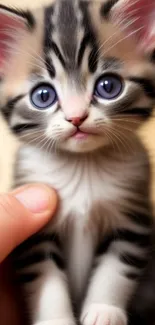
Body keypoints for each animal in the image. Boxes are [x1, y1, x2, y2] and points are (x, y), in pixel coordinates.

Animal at [0, 1, 155, 324]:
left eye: (108, 86)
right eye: (43, 95)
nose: (76, 118)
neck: (82, 165)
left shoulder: (132, 217)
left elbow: (116, 269)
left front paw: (104, 310)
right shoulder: (37, 235)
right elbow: (44, 277)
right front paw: (56, 319)